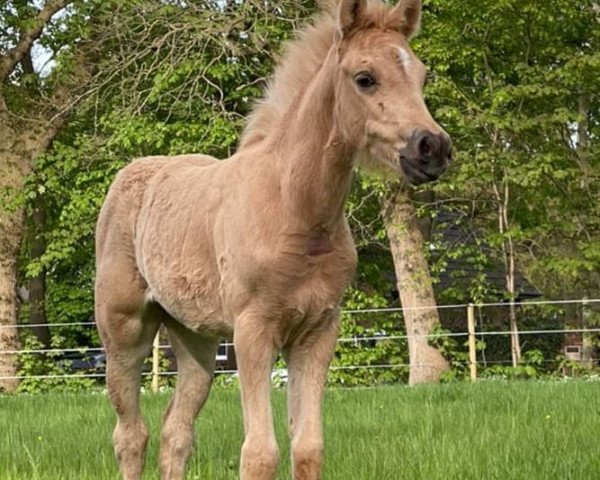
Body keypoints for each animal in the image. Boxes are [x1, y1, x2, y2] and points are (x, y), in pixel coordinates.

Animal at [95, 0, 450, 480]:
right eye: (365, 78)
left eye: (422, 76)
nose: (433, 147)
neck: (296, 211)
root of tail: (129, 174)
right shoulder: (253, 329)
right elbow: (260, 454)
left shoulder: (318, 332)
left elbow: (308, 447)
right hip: (123, 329)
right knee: (131, 435)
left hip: (195, 338)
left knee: (176, 432)